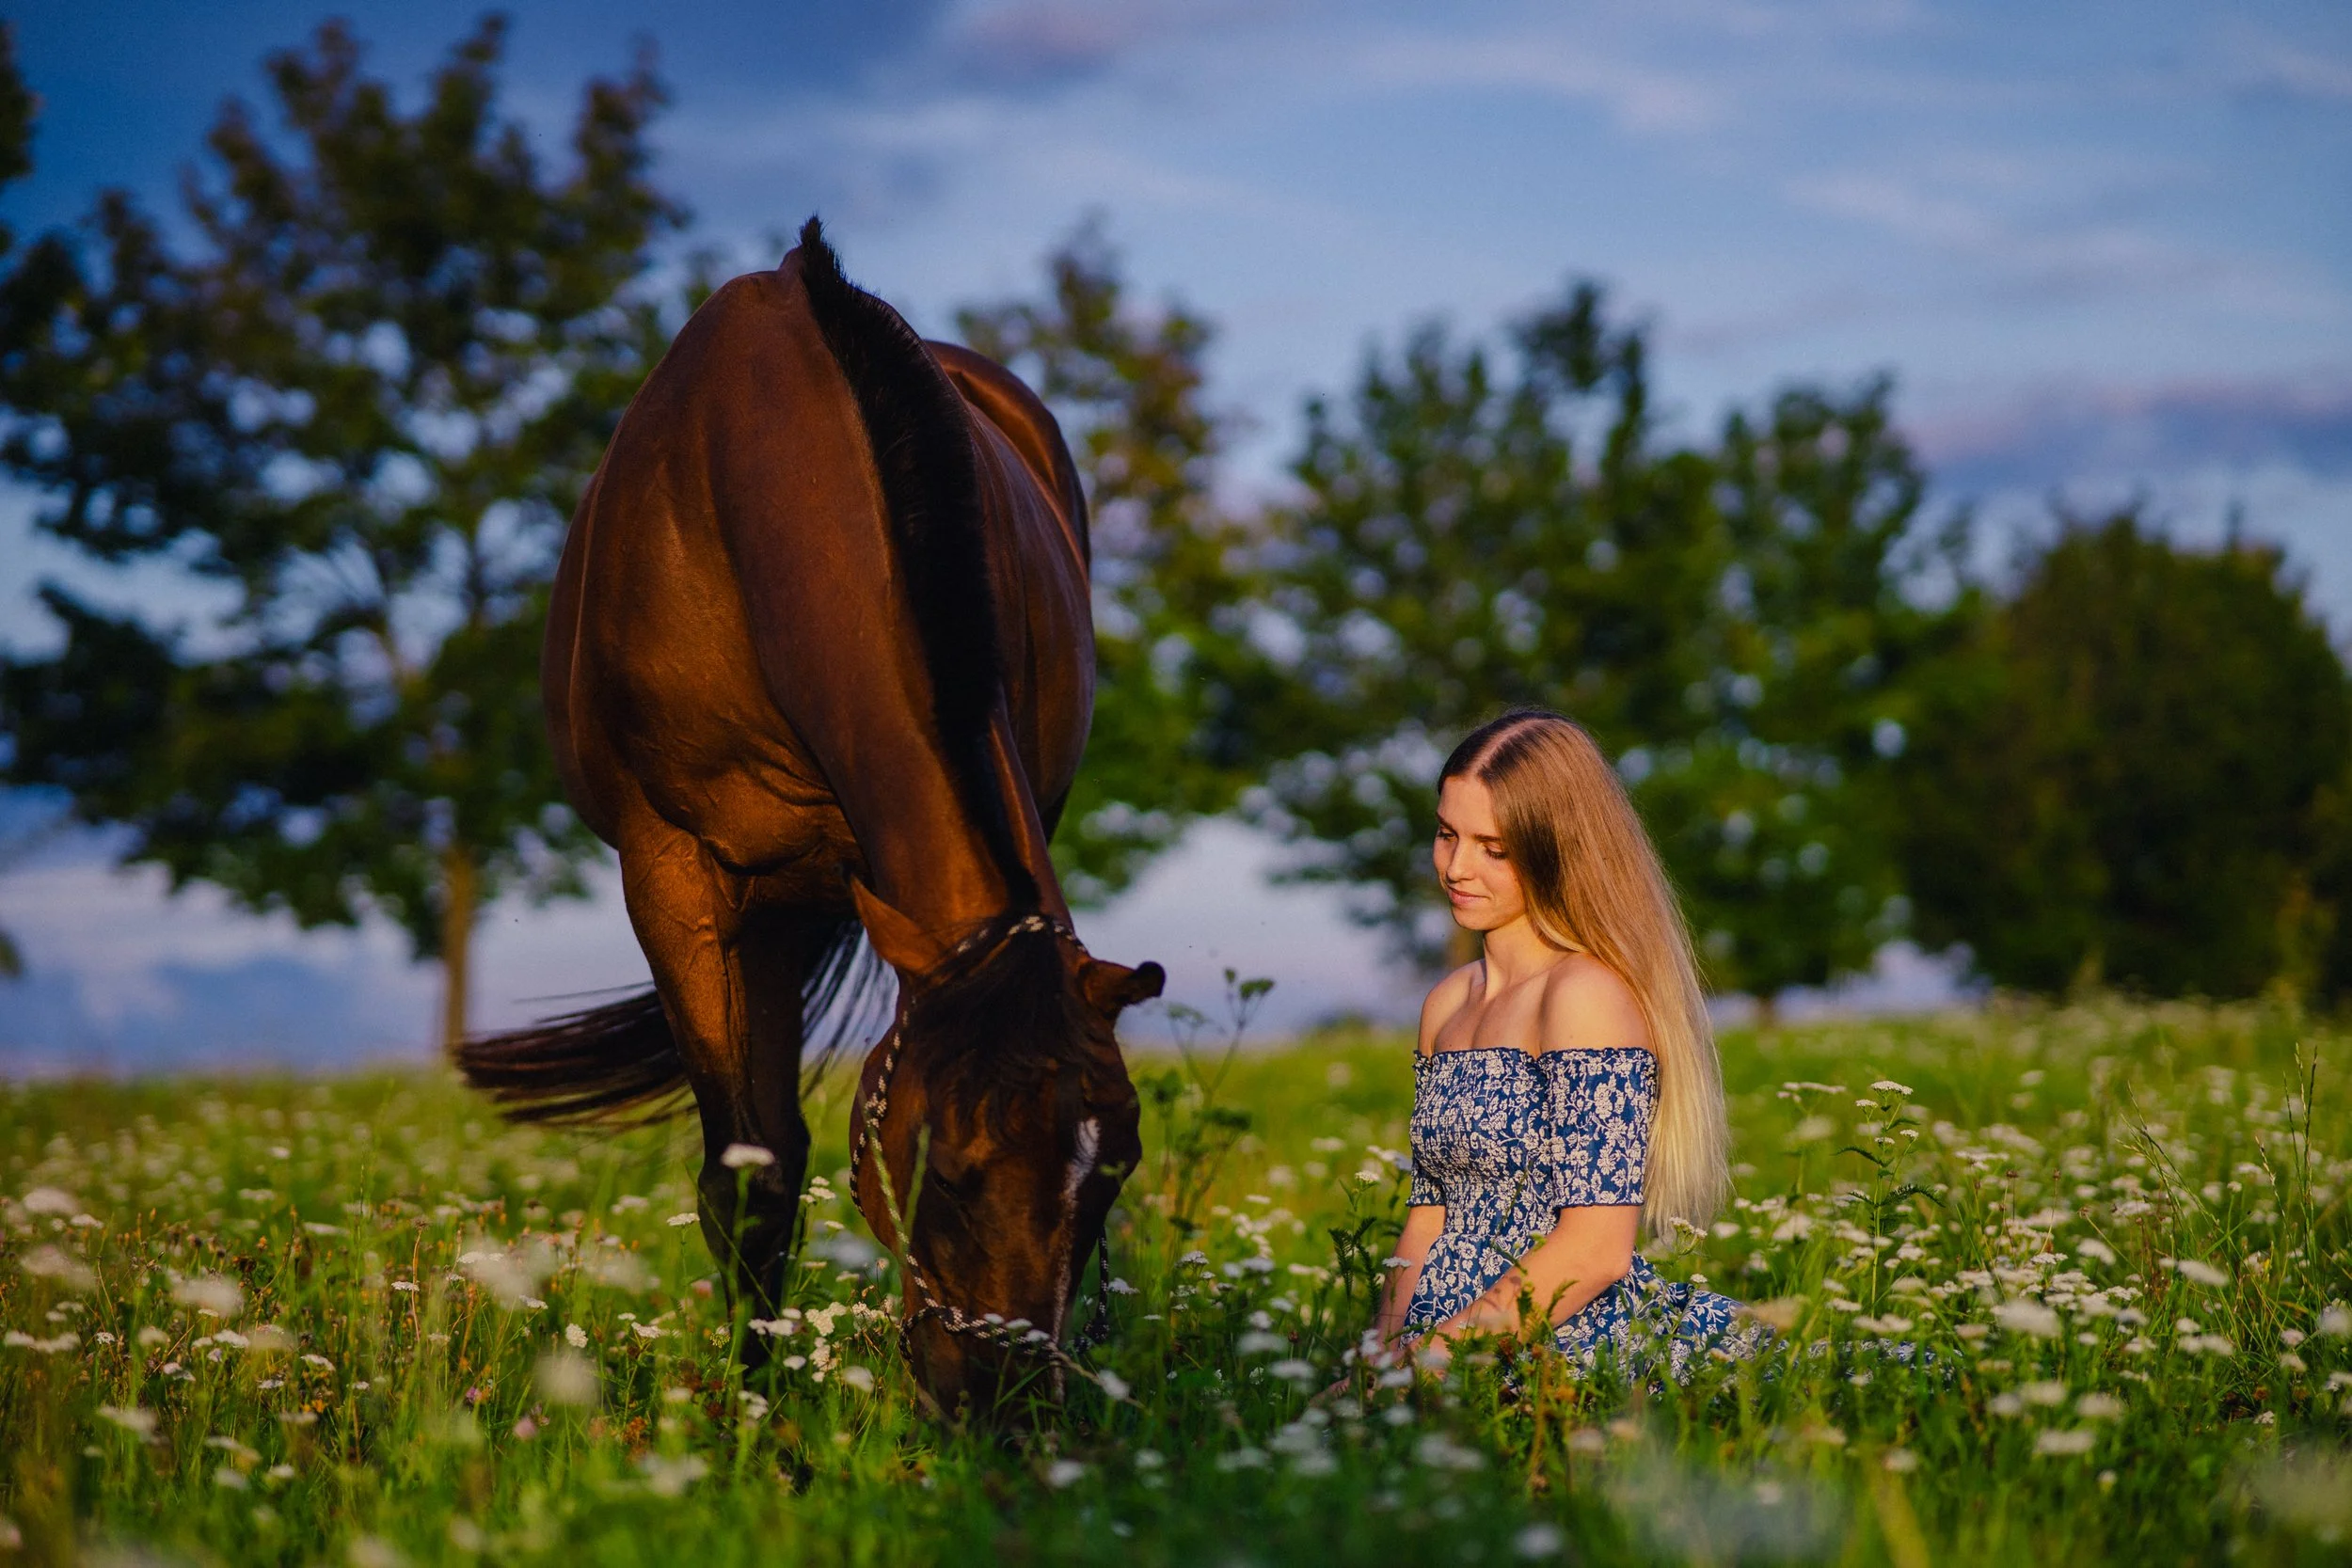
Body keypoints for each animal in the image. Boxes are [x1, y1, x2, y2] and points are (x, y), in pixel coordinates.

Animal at [453, 219, 1165, 1414]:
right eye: (946, 1166)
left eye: (1116, 1168)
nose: (1006, 1405)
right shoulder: (678, 877)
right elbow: (751, 1169)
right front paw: (756, 1408)